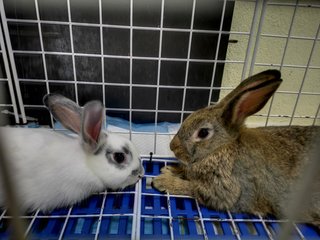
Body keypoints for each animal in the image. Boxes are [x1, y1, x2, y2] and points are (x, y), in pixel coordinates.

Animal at [153, 69, 320, 225]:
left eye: (203, 133)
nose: (172, 147)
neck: (222, 148)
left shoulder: (226, 191)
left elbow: (192, 187)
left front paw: (163, 181)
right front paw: (170, 169)